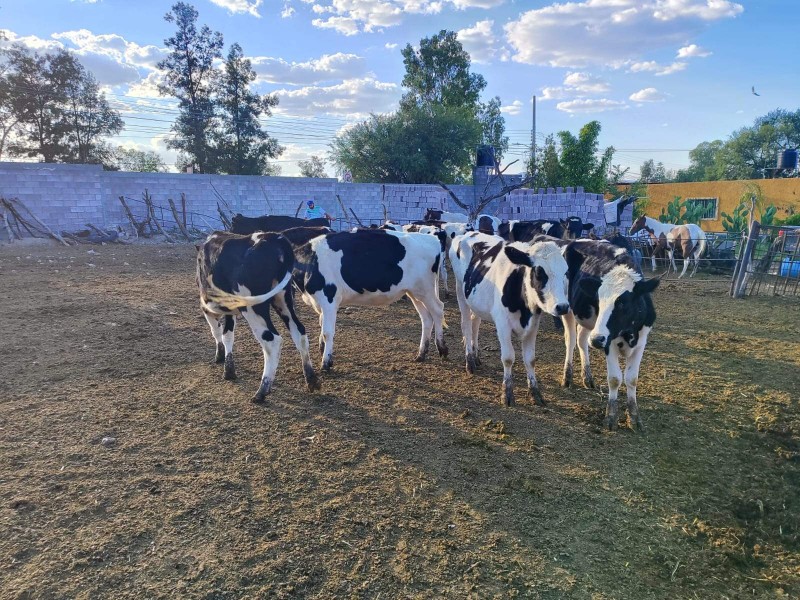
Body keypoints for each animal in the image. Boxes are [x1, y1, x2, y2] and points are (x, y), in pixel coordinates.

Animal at [196, 231, 321, 403]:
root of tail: (275, 238)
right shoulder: (230, 310)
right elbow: (228, 335)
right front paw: (228, 369)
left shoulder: (207, 307)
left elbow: (216, 331)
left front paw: (219, 356)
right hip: (283, 299)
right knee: (299, 331)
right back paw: (310, 378)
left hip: (253, 307)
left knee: (272, 340)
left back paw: (262, 390)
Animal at [293, 229, 448, 371]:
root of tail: (432, 238)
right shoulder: (320, 303)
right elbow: (321, 326)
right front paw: (323, 351)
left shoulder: (329, 299)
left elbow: (327, 332)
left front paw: (326, 362)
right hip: (414, 293)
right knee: (426, 318)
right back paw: (421, 354)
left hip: (425, 290)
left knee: (438, 310)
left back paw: (442, 349)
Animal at [449, 232, 570, 406]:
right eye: (539, 272)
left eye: (565, 272)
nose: (563, 307)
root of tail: (467, 233)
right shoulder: (502, 324)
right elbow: (508, 358)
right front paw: (506, 393)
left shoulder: (533, 326)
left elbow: (530, 359)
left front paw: (535, 393)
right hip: (461, 291)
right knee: (466, 325)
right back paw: (470, 361)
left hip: (476, 301)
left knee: (475, 322)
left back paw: (476, 355)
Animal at [550, 238, 660, 431]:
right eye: (598, 300)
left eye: (623, 303)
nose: (597, 340)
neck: (628, 332)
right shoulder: (609, 342)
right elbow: (615, 378)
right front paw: (611, 416)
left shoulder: (641, 341)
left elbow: (632, 379)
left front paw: (634, 417)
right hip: (568, 310)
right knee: (571, 340)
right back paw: (567, 377)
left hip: (590, 322)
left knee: (582, 340)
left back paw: (587, 377)